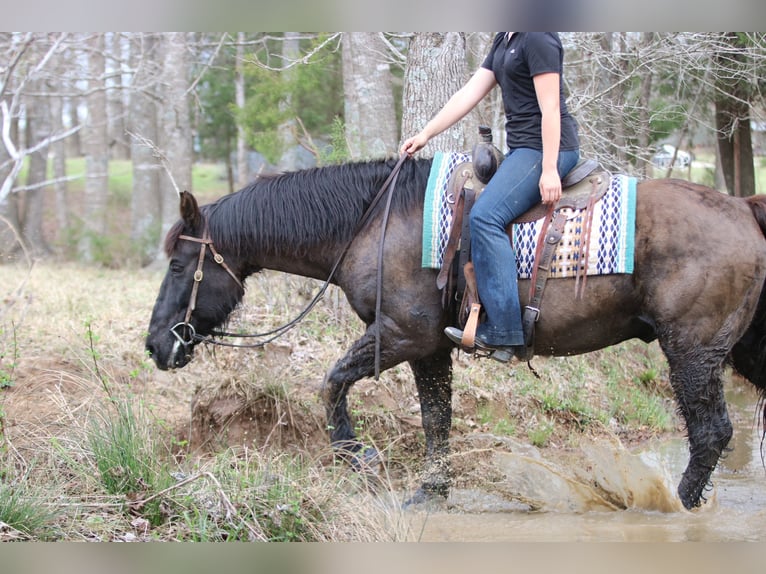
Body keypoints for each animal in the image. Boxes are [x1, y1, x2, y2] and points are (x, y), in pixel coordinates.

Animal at [145, 156, 766, 511]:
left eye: (178, 264)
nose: (156, 344)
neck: (373, 222)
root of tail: (743, 205)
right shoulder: (431, 348)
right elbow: (436, 419)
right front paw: (431, 492)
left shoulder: (403, 336)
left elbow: (332, 382)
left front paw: (354, 453)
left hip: (692, 351)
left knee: (711, 433)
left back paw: (680, 509)